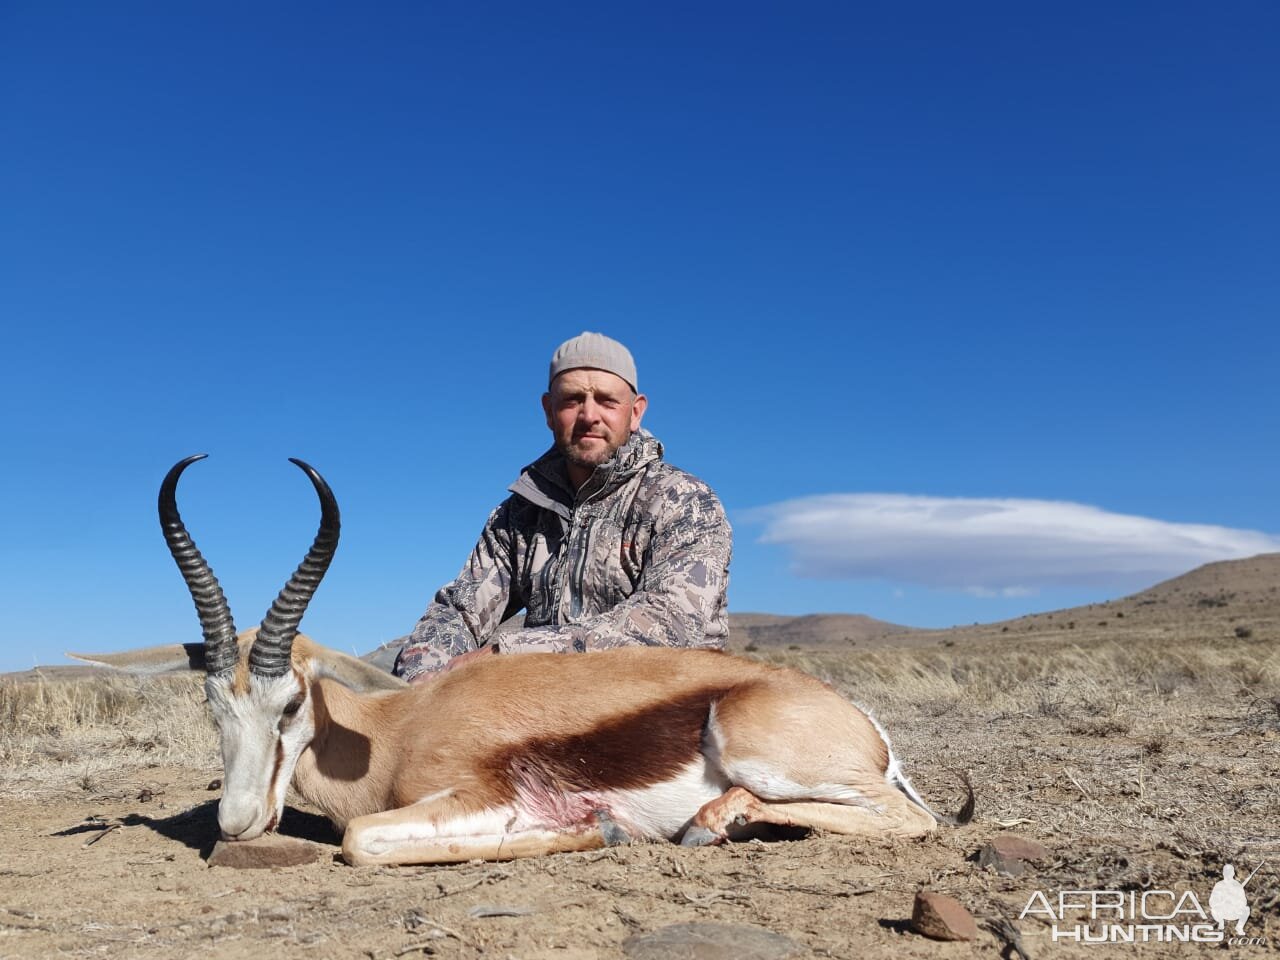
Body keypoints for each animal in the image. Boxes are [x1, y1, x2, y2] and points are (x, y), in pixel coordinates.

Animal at [74, 455, 972, 870]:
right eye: (212, 708)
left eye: (291, 704)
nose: (233, 823)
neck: (396, 728)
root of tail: (865, 726)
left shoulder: (474, 797)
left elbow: (361, 838)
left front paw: (595, 829)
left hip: (758, 748)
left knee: (911, 820)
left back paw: (718, 821)